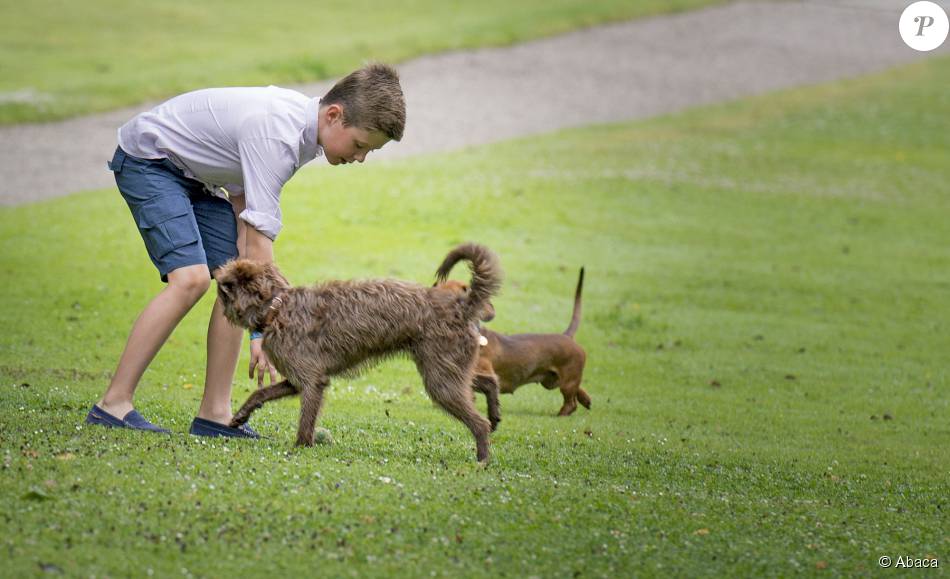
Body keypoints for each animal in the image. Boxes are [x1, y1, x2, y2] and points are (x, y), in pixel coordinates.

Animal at [219, 242, 506, 464]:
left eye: (230, 287)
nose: (219, 283)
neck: (277, 308)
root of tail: (462, 306)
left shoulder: (312, 381)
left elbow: (306, 419)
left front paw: (301, 446)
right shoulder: (296, 380)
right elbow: (261, 393)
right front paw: (241, 415)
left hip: (440, 378)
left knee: (478, 423)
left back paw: (482, 459)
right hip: (448, 370)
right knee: (488, 383)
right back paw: (494, 414)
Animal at [444, 268, 588, 416]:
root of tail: (567, 336)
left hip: (567, 382)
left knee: (571, 403)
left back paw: (560, 415)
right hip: (553, 381)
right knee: (577, 391)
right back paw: (586, 401)